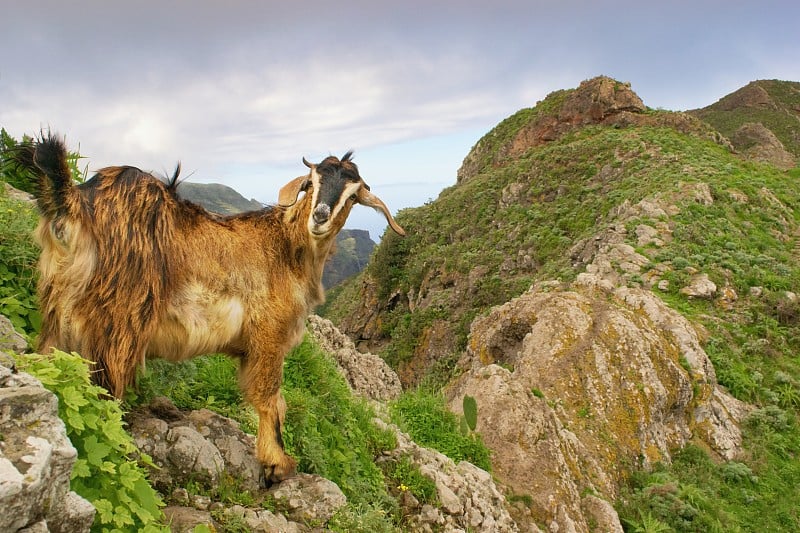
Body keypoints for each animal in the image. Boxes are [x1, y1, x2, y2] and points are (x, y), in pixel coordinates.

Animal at [19, 132, 406, 482]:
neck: (286, 248)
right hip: (118, 317)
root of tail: (73, 205)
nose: (321, 216)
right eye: (311, 183)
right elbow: (271, 398)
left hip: (57, 311)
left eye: (353, 196)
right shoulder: (269, 334)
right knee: (104, 387)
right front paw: (278, 464)